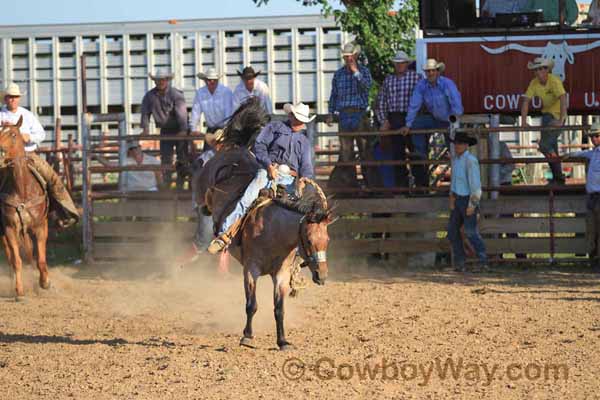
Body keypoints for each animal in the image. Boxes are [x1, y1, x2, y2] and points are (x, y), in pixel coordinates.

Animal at [0, 119, 50, 300]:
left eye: (14, 134)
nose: (0, 150)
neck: (22, 189)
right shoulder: (9, 229)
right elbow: (16, 261)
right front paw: (19, 292)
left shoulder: (40, 227)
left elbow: (41, 259)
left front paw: (45, 282)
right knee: (14, 257)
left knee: (31, 255)